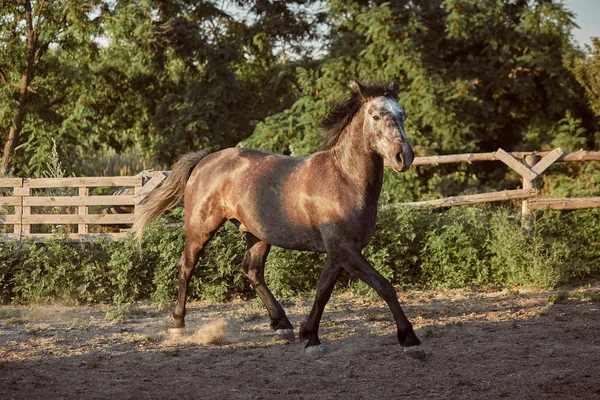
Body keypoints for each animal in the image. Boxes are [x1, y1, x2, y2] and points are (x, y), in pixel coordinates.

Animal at [135, 80, 426, 360]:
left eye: (403, 115)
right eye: (376, 116)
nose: (404, 156)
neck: (345, 179)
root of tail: (204, 160)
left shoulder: (339, 251)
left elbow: (322, 292)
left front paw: (310, 337)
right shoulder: (344, 248)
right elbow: (384, 286)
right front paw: (410, 341)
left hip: (257, 234)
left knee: (252, 270)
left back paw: (282, 324)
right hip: (200, 229)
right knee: (186, 267)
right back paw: (178, 326)